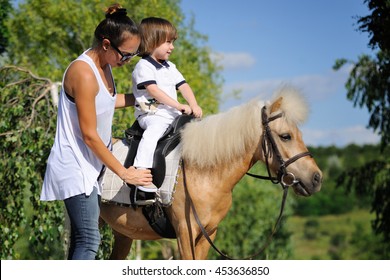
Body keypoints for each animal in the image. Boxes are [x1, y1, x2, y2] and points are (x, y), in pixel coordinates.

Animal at [100, 87, 322, 260]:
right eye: (286, 136)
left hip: (122, 233)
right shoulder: (185, 233)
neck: (204, 173)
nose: (316, 178)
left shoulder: (208, 235)